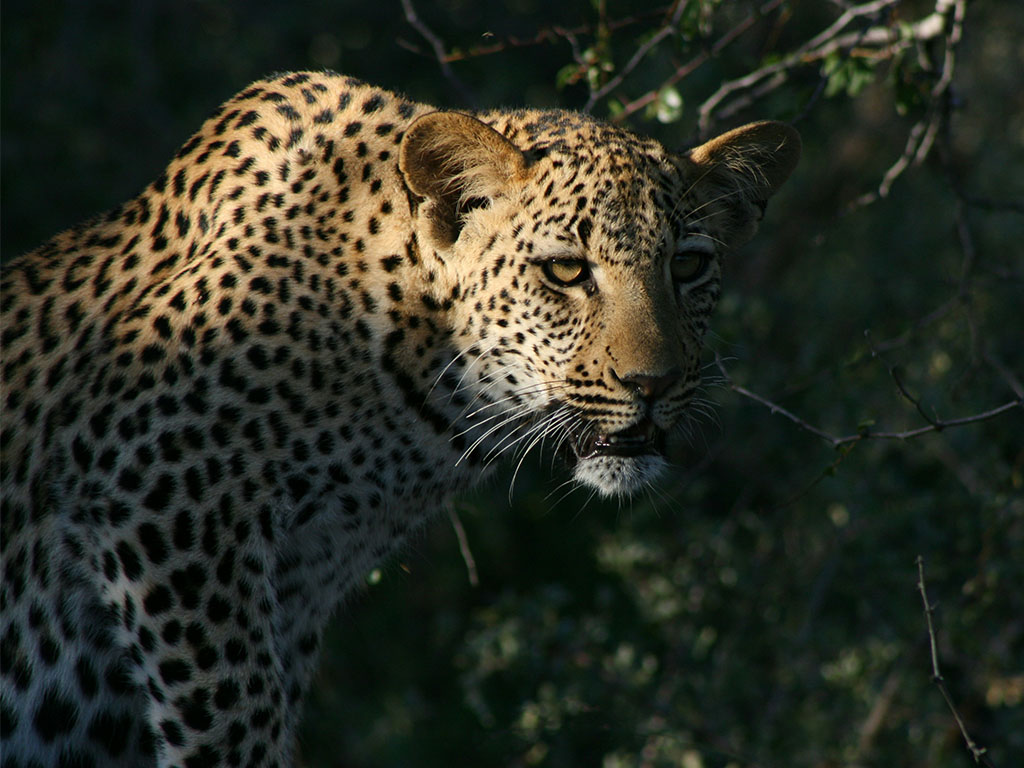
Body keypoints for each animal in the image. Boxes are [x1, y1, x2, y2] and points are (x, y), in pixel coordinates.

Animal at [0, 70, 799, 766]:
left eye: (689, 268)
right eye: (566, 271)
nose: (653, 384)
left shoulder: (290, 591)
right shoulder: (162, 500)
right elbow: (231, 714)